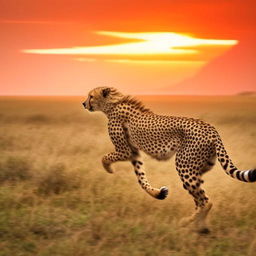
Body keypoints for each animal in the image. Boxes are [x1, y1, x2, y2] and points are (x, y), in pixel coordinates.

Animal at [82, 87, 256, 233]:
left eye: (91, 96)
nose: (84, 103)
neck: (111, 105)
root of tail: (211, 128)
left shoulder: (125, 151)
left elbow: (105, 157)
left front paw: (108, 168)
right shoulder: (134, 154)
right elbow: (141, 179)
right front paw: (158, 193)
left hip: (185, 167)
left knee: (206, 201)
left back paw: (188, 223)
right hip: (197, 170)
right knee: (200, 200)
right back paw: (201, 227)